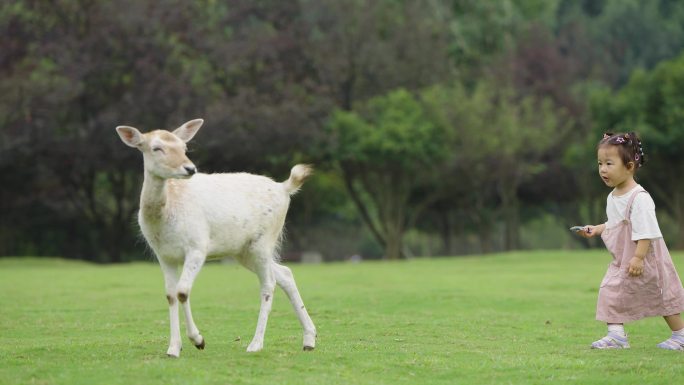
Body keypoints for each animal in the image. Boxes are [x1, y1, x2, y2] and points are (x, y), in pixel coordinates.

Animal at [115, 118, 318, 356]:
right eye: (156, 148)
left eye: (184, 148)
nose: (190, 168)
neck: (164, 216)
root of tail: (284, 188)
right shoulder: (163, 255)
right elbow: (171, 295)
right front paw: (173, 348)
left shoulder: (197, 246)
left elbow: (183, 291)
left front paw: (198, 340)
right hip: (245, 251)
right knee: (285, 273)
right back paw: (309, 339)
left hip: (263, 241)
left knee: (269, 283)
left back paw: (255, 344)